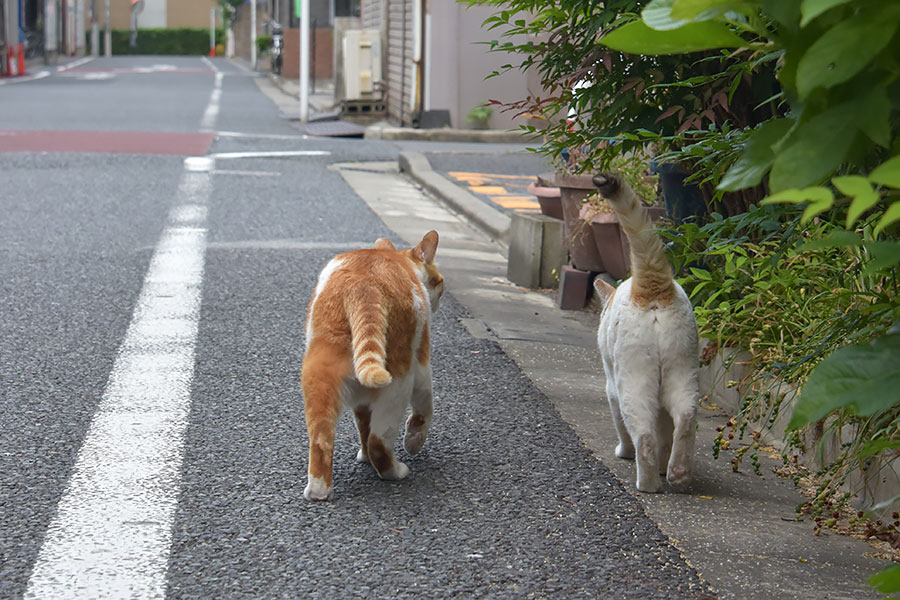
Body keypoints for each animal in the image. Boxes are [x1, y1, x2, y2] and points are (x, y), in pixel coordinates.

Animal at [302, 232, 442, 500]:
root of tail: (362, 285)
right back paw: (395, 471)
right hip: (398, 379)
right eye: (440, 282)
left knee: (321, 440)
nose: (440, 295)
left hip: (319, 376)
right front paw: (413, 441)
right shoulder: (422, 361)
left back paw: (318, 491)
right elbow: (424, 408)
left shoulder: (362, 398)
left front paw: (364, 456)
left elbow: (363, 423)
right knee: (379, 441)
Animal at [592, 173, 704, 492]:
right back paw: (677, 472)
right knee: (686, 416)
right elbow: (665, 430)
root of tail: (653, 285)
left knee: (642, 434)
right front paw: (665, 466)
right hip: (683, 369)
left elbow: (627, 428)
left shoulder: (611, 386)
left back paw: (648, 482)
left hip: (633, 380)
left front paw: (625, 453)